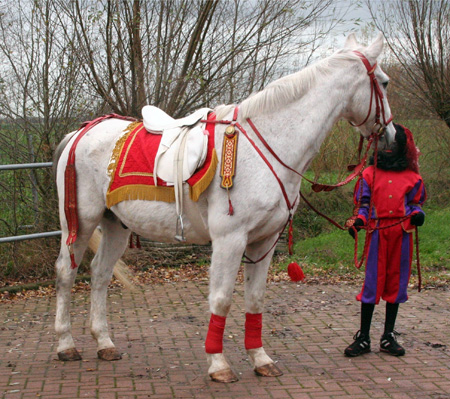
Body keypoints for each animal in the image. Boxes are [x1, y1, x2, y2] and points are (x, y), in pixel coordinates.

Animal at [53, 35, 394, 384]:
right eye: (384, 81)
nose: (391, 138)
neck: (270, 144)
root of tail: (80, 133)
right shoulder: (230, 240)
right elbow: (221, 299)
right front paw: (218, 363)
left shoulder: (264, 241)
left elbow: (255, 299)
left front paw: (260, 358)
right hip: (79, 223)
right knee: (67, 272)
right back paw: (66, 345)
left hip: (115, 225)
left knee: (100, 274)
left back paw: (104, 342)